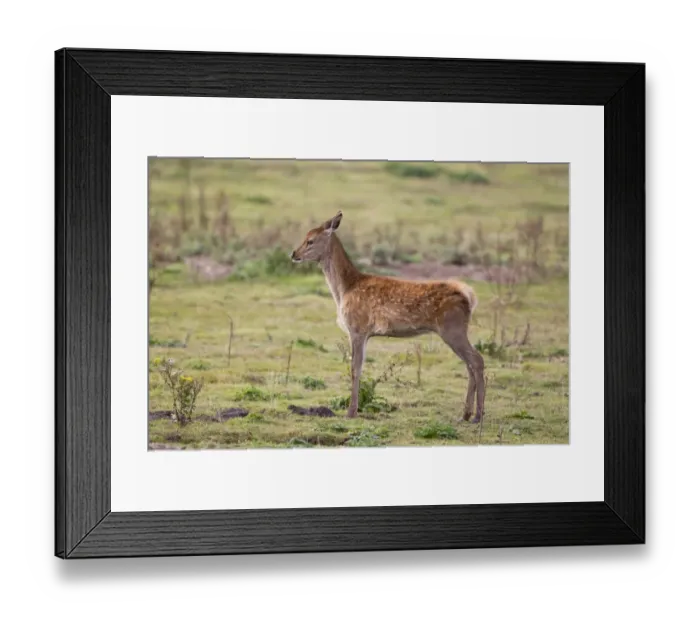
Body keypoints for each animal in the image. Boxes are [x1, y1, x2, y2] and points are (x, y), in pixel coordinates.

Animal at [290, 211, 486, 423]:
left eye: (310, 240)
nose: (293, 254)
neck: (345, 288)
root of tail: (469, 296)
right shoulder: (365, 333)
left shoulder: (357, 328)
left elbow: (355, 369)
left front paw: (351, 413)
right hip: (455, 330)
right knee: (470, 363)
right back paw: (466, 414)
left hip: (452, 328)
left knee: (476, 360)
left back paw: (477, 416)